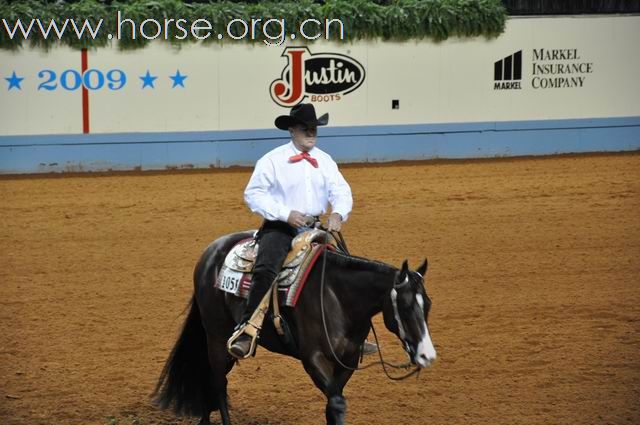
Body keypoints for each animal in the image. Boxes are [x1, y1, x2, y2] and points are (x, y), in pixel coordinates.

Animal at [154, 230, 436, 422]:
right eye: (406, 306)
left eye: (428, 305)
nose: (427, 355)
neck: (336, 296)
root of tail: (210, 252)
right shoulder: (313, 358)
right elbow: (336, 403)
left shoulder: (348, 360)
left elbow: (333, 402)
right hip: (215, 335)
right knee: (216, 381)